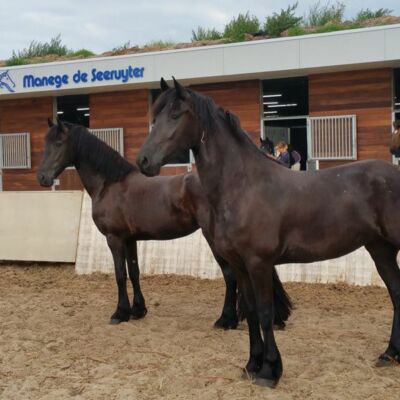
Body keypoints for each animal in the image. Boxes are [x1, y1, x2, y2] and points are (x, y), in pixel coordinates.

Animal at [36, 119, 290, 332]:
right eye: (45, 143)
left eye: (58, 143)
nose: (42, 177)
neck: (110, 183)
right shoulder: (129, 239)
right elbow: (134, 272)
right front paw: (138, 310)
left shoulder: (114, 238)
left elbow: (120, 274)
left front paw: (120, 313)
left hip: (212, 238)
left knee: (230, 276)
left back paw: (225, 320)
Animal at [138, 78, 400, 388]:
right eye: (155, 117)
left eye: (176, 115)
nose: (143, 160)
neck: (243, 185)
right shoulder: (240, 265)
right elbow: (251, 311)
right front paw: (252, 364)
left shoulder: (259, 263)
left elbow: (265, 312)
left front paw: (270, 370)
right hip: (381, 249)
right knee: (397, 294)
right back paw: (390, 353)